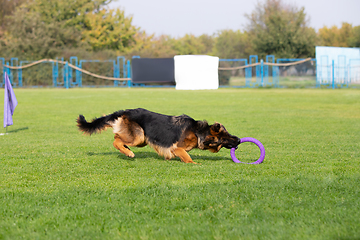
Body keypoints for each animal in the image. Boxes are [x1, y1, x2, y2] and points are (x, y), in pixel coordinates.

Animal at [76, 108, 240, 163]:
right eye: (226, 136)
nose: (239, 139)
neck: (198, 132)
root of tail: (125, 111)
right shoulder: (177, 148)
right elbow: (188, 157)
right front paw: (195, 164)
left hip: (142, 139)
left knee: (118, 138)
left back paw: (126, 150)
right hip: (139, 137)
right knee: (116, 140)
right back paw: (128, 153)